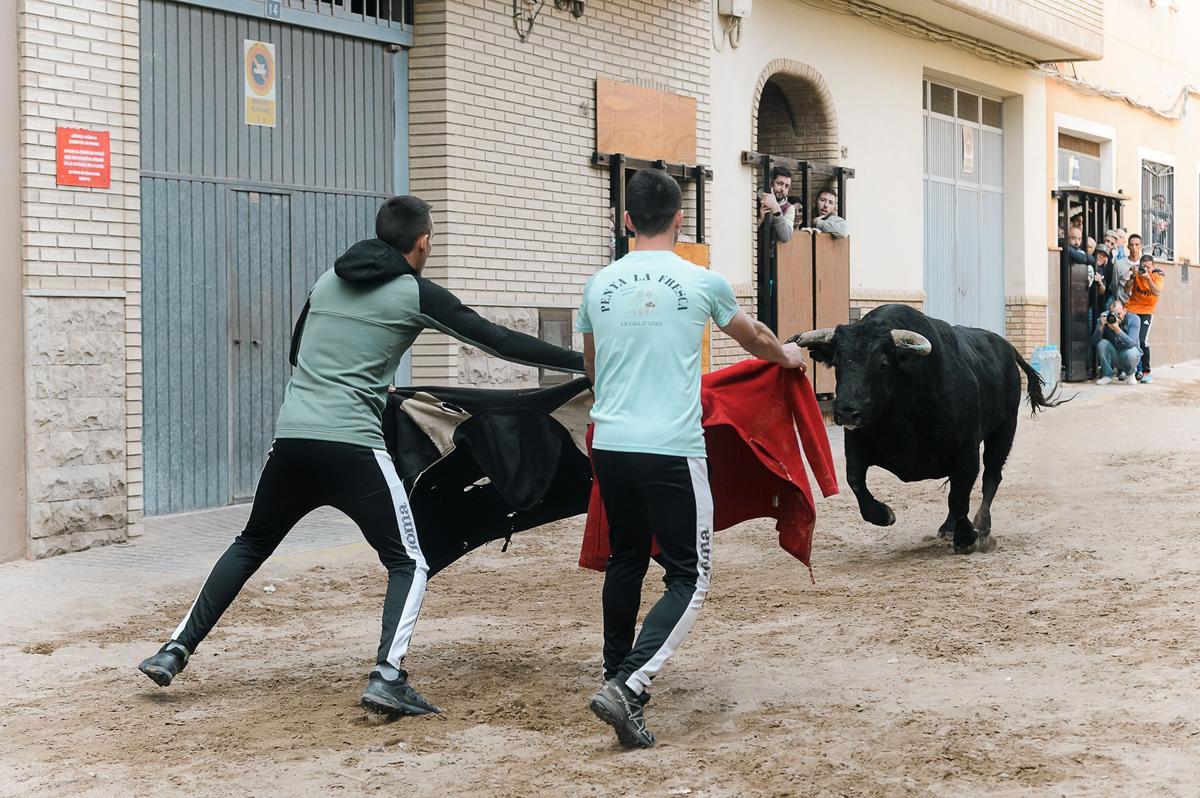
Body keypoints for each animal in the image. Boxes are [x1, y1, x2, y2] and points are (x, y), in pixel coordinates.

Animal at [792, 302, 1065, 552]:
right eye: (838, 363)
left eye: (883, 364)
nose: (847, 411)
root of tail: (1006, 347)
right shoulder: (857, 443)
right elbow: (855, 481)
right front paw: (884, 514)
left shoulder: (966, 450)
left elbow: (959, 496)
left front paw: (967, 538)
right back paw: (949, 527)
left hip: (1004, 430)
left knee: (991, 476)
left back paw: (983, 526)